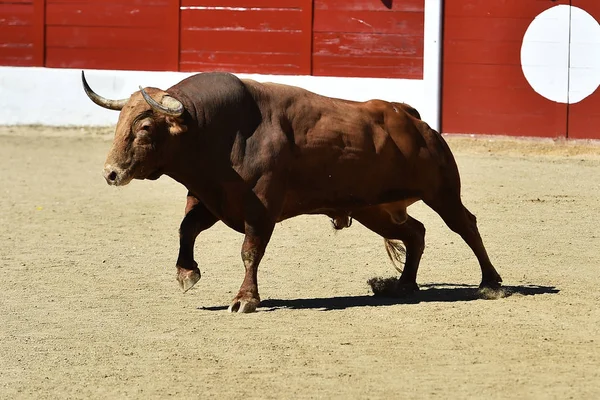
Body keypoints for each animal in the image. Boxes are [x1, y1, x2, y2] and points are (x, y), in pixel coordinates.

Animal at [81, 72, 502, 316]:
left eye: (145, 126)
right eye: (120, 122)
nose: (110, 173)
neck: (215, 131)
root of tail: (414, 119)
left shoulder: (261, 209)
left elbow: (250, 251)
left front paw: (245, 299)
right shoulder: (211, 198)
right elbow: (187, 229)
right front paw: (188, 273)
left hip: (442, 191)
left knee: (466, 225)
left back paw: (491, 282)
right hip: (376, 209)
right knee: (416, 233)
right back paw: (403, 285)